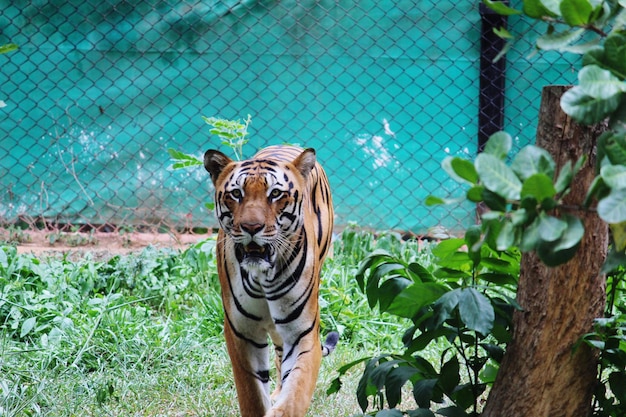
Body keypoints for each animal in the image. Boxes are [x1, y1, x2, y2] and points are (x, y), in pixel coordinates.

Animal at [204, 144, 338, 416]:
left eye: (275, 194)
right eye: (236, 194)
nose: (251, 227)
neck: (262, 276)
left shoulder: (303, 334)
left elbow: (294, 396)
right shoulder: (241, 332)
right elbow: (252, 395)